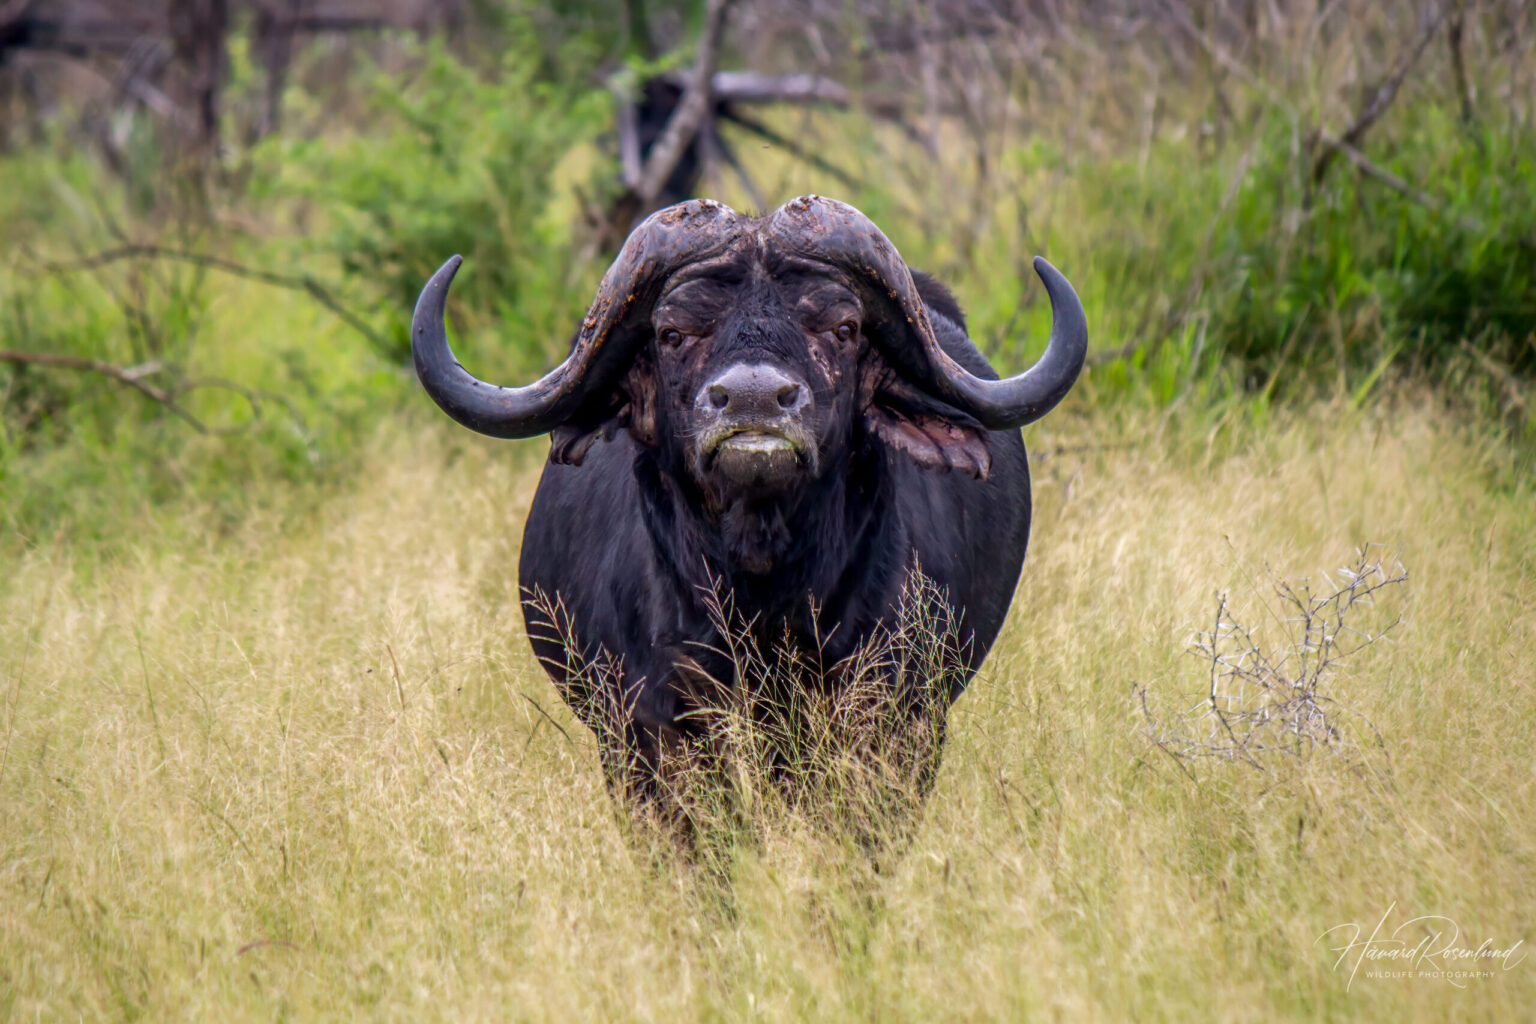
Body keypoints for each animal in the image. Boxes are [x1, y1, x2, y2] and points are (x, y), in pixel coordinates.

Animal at [412, 195, 1086, 821]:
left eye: (843, 329)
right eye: (673, 333)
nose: (754, 399)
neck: (760, 597)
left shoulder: (897, 726)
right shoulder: (645, 738)